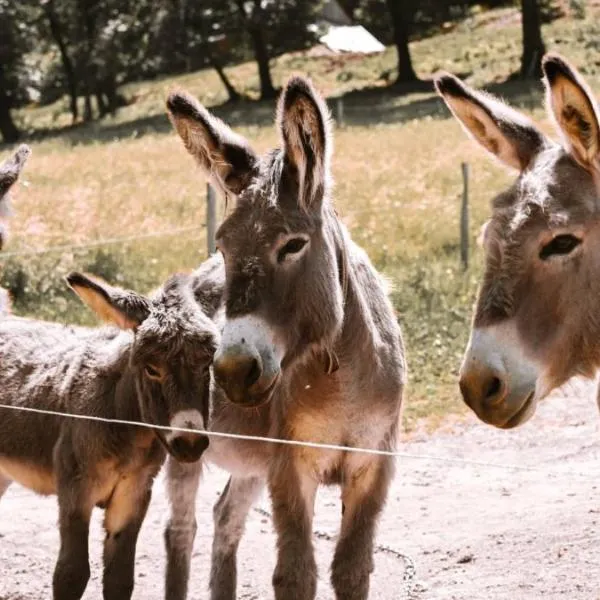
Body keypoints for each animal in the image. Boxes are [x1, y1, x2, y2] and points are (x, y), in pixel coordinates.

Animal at [0, 274, 216, 600]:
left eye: (206, 367)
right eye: (152, 369)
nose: (190, 443)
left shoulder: (133, 492)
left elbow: (119, 579)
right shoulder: (76, 489)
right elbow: (71, 574)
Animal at [166, 75, 406, 600]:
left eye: (294, 245)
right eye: (223, 246)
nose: (233, 371)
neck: (339, 375)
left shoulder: (372, 467)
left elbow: (352, 570)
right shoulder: (290, 467)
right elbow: (295, 575)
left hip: (249, 464)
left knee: (225, 518)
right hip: (181, 443)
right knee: (180, 529)